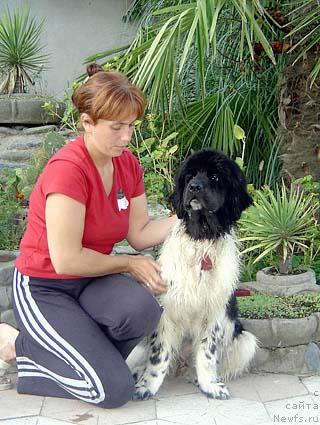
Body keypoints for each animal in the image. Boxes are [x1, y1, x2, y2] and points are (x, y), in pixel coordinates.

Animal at [127, 147, 258, 400]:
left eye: (215, 177)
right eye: (189, 176)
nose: (194, 187)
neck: (202, 237)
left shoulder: (215, 314)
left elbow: (207, 354)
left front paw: (210, 386)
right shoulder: (166, 310)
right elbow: (158, 356)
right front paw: (147, 386)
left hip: (245, 341)